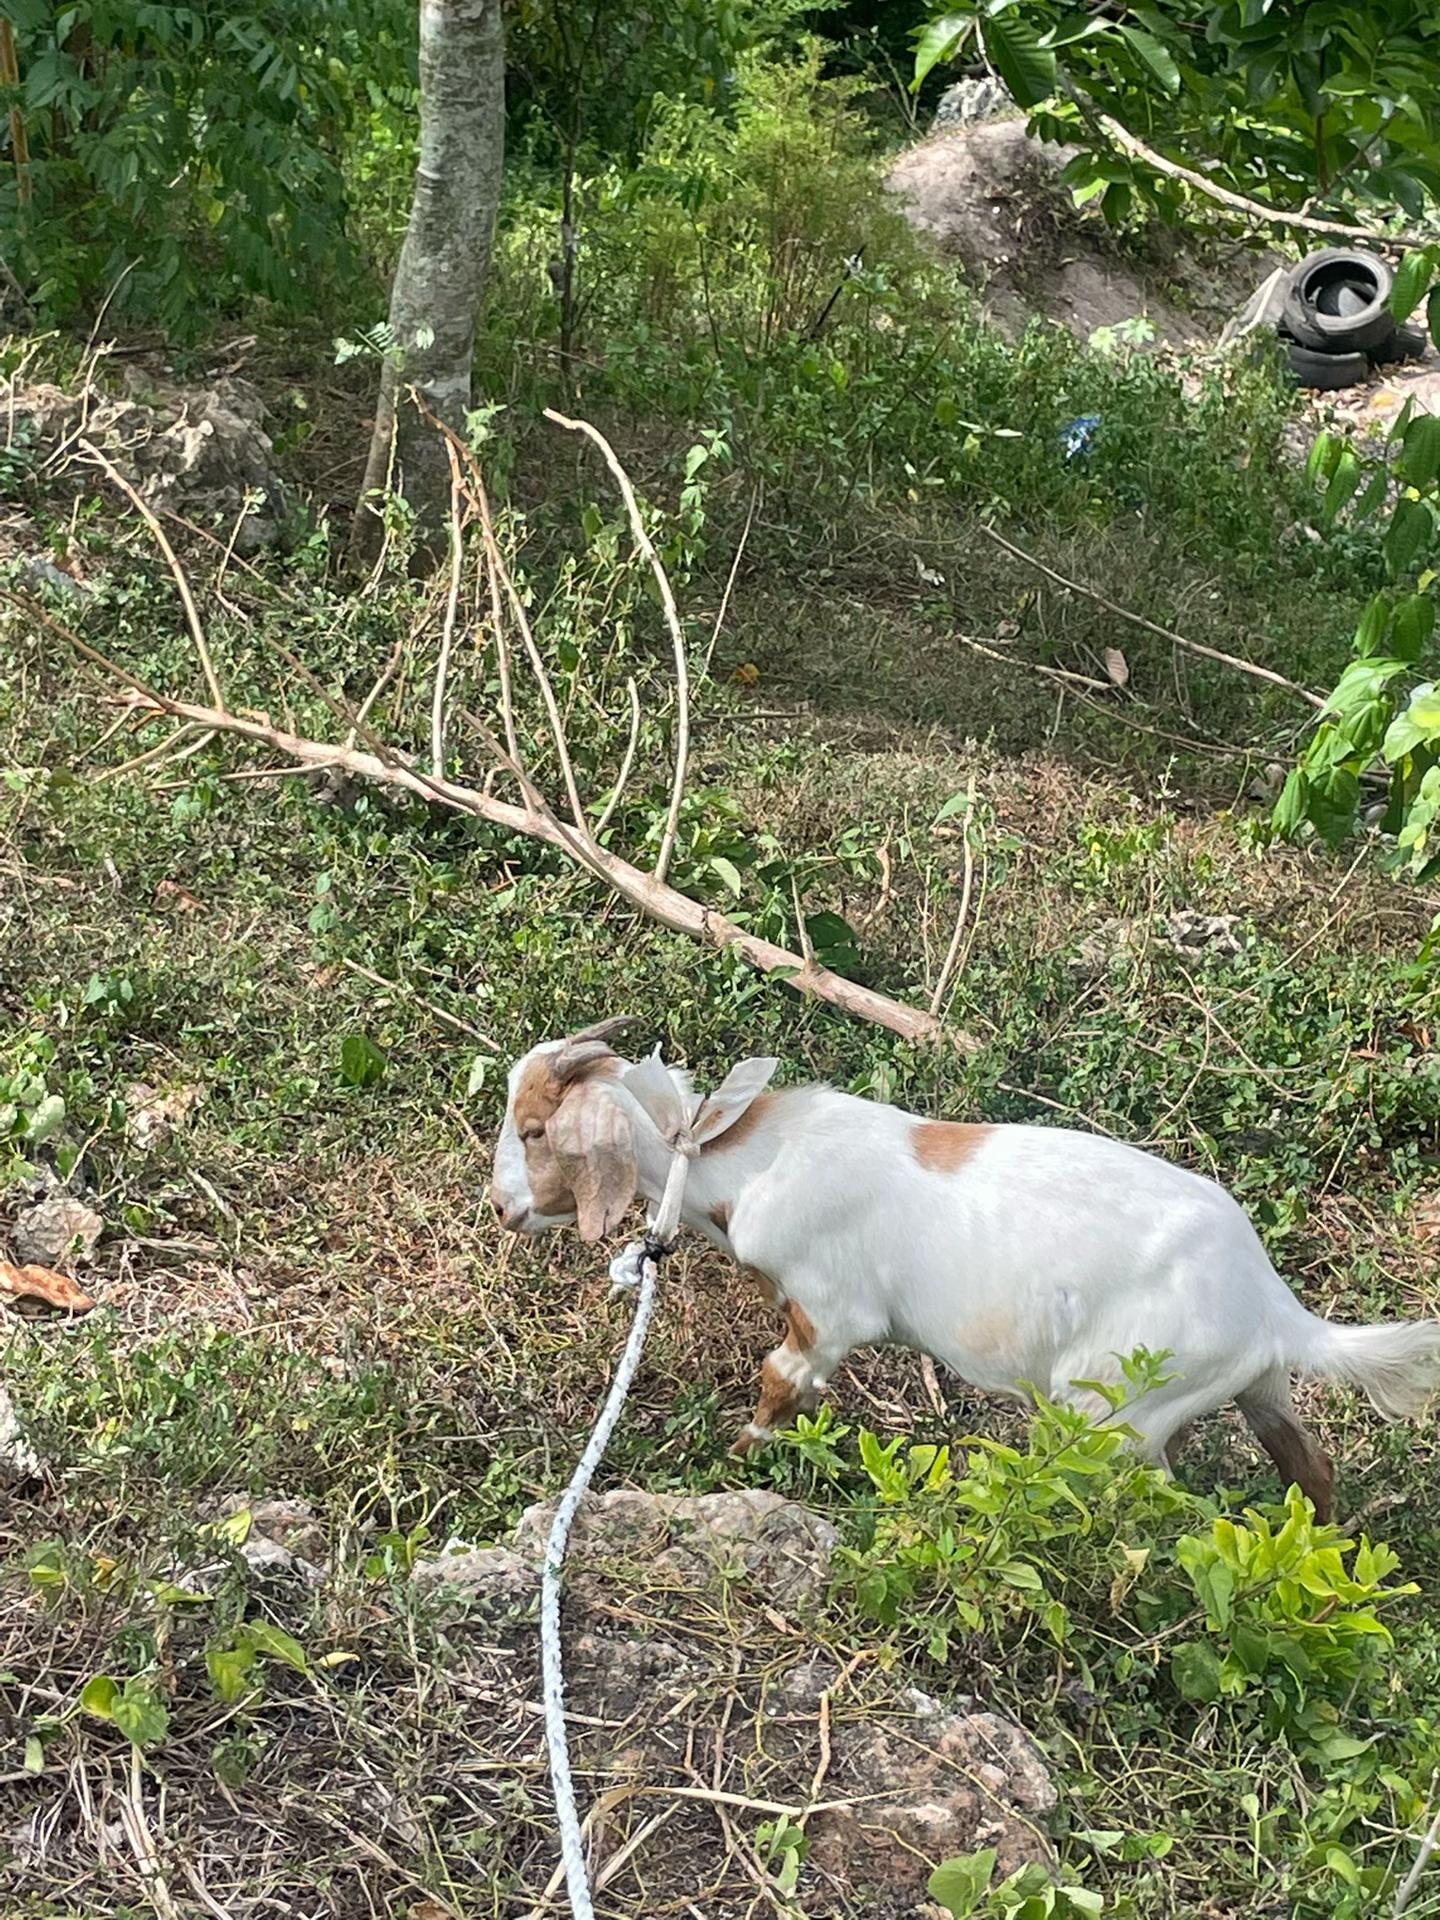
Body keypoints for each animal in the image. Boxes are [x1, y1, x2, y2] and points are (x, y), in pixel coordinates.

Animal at [490, 1019, 1440, 1519]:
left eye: (534, 1130)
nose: (502, 1209)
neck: (745, 1160)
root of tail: (1273, 1305)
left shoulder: (829, 1311)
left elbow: (781, 1381)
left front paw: (736, 1462)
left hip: (1116, 1407)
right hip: (1251, 1383)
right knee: (1307, 1463)